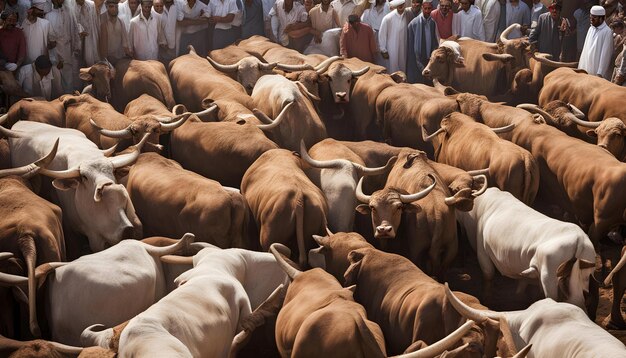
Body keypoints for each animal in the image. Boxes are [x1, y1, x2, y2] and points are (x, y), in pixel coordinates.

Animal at [456, 187, 592, 308]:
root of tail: (578, 240)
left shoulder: (482, 251)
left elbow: (488, 275)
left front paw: (486, 301)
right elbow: (522, 284)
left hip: (549, 276)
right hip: (582, 277)